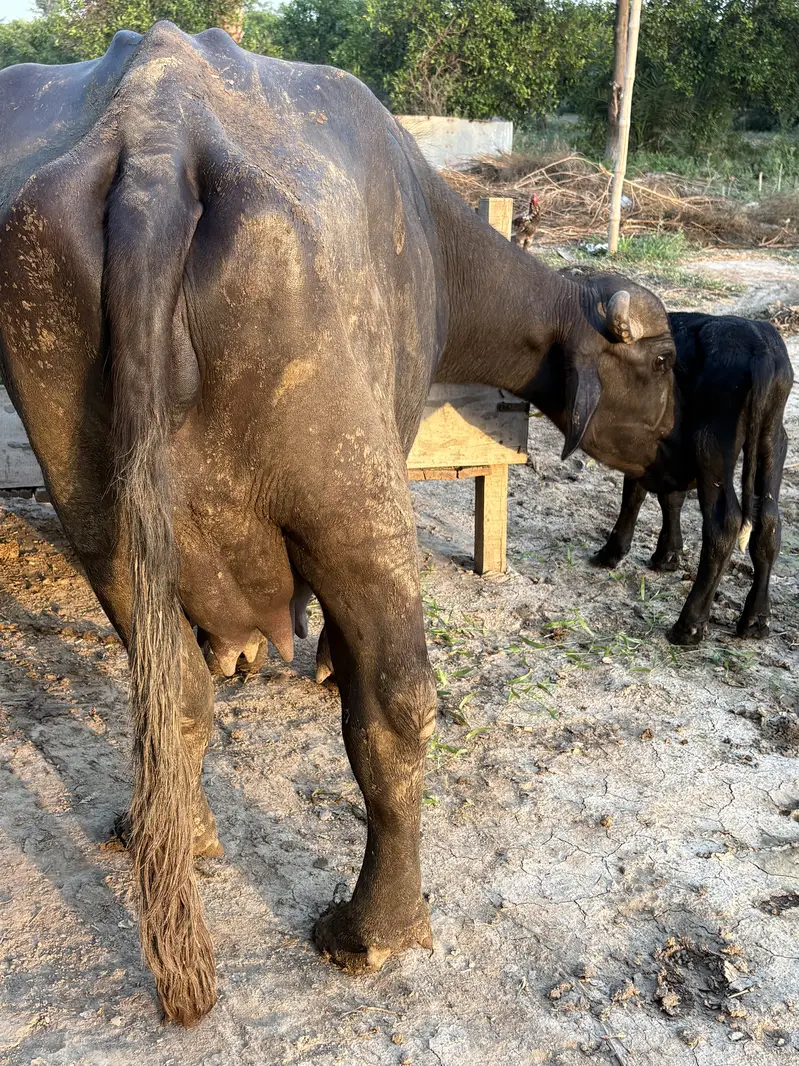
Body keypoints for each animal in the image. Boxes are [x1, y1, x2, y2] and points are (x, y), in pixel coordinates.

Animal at [0, 23, 678, 1025]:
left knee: (170, 695)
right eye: (663, 361)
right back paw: (375, 929)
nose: (672, 444)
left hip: (98, 509)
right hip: (350, 496)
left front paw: (245, 652)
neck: (434, 237)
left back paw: (170, 829)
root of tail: (159, 144)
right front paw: (320, 658)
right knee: (398, 704)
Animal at [591, 312, 793, 645]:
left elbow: (633, 495)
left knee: (723, 524)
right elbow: (670, 497)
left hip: (710, 445)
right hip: (773, 440)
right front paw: (668, 554)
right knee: (768, 522)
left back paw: (688, 626)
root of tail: (759, 347)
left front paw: (611, 552)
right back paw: (755, 620)